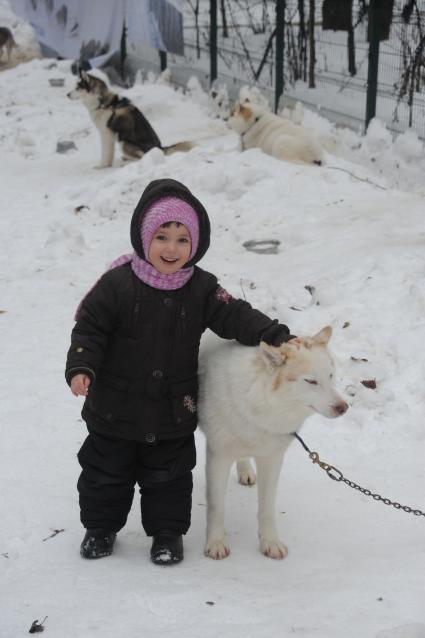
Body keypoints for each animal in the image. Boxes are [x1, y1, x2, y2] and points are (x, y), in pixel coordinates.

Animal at [197, 328, 346, 564]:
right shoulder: (218, 458)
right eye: (311, 381)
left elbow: (267, 509)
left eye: (330, 376)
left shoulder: (272, 459)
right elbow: (216, 507)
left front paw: (270, 543)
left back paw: (246, 471)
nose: (344, 407)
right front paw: (216, 543)